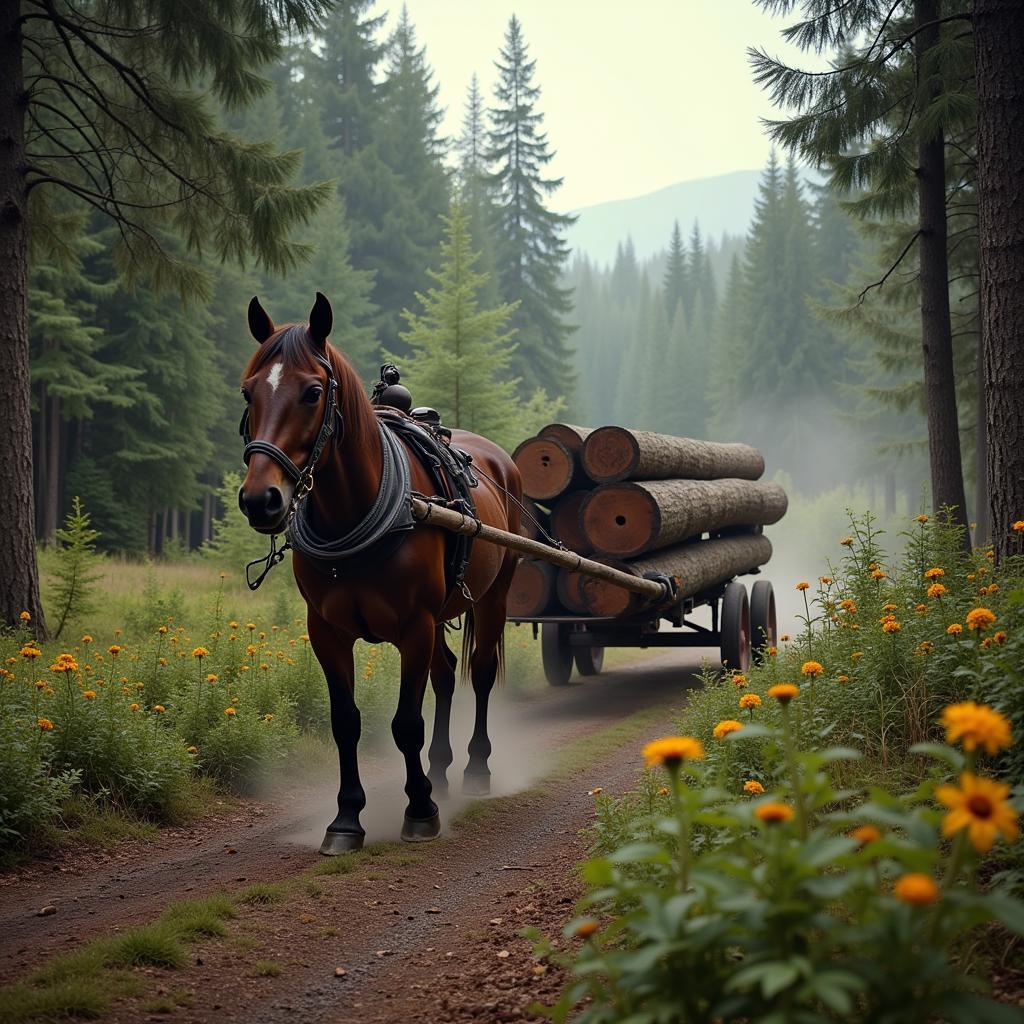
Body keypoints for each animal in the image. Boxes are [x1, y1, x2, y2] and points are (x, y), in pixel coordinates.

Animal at [234, 292, 520, 851]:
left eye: (313, 392)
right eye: (248, 391)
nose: (261, 499)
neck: (356, 515)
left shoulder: (414, 626)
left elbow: (406, 722)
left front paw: (420, 810)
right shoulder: (325, 630)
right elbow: (345, 722)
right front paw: (347, 818)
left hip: (495, 594)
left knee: (478, 673)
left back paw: (474, 768)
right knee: (446, 675)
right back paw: (440, 769)